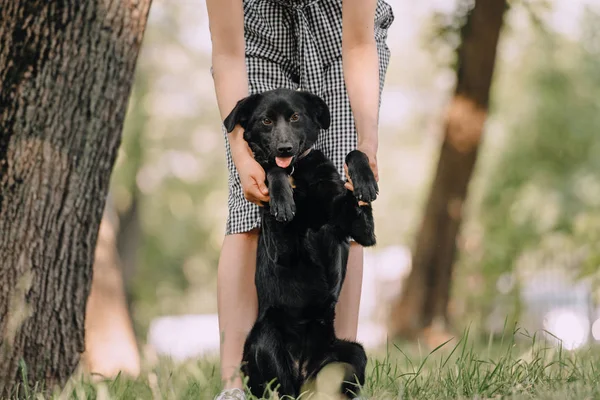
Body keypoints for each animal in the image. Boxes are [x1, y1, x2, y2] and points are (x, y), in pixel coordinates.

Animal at [223, 89, 378, 398]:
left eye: (295, 117)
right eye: (266, 120)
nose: (284, 149)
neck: (298, 170)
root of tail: (303, 372)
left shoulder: (360, 229)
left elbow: (355, 153)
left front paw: (365, 180)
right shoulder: (281, 250)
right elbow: (272, 172)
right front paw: (282, 197)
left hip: (354, 353)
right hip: (265, 339)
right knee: (281, 389)